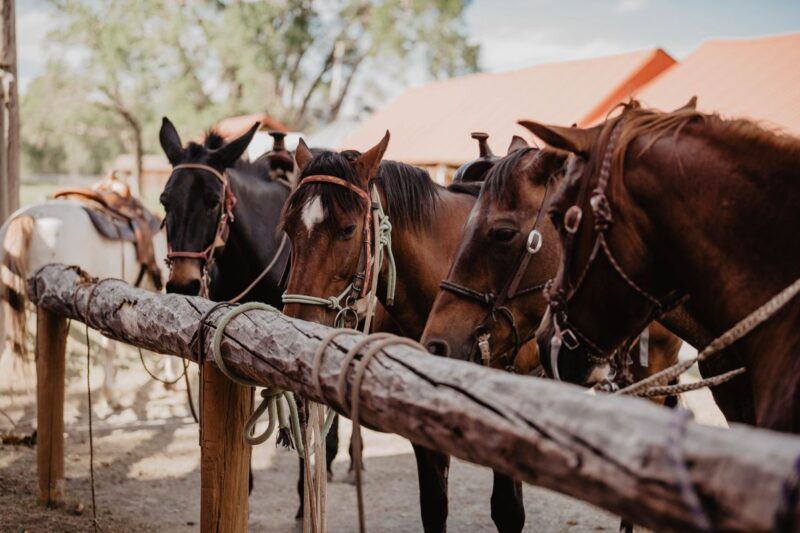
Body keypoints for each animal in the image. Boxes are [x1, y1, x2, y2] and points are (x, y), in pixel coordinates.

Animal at [156, 116, 334, 516]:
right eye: (164, 200)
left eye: (213, 201)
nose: (183, 283)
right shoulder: (237, 342)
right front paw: (243, 487)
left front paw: (305, 499)